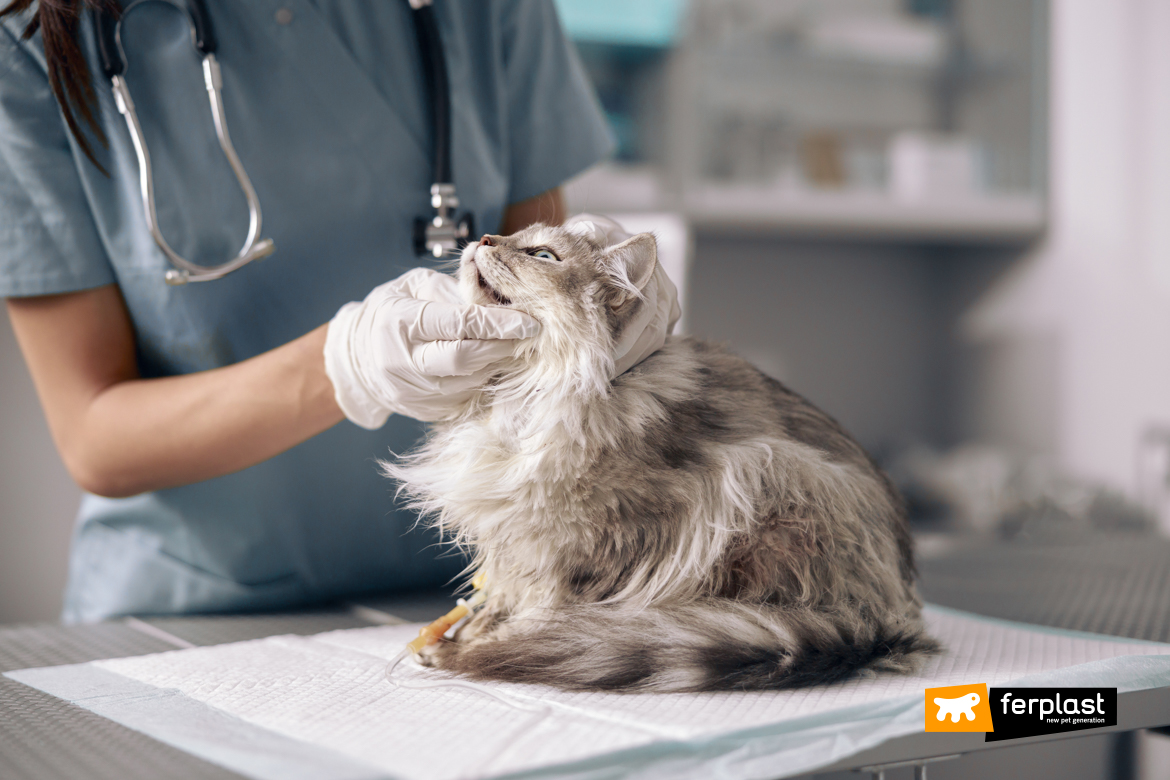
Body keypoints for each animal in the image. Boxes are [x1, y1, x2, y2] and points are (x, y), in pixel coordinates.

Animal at [386, 222, 940, 692]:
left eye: (542, 255)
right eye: (510, 236)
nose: (482, 236)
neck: (518, 394)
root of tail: (889, 615)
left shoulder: (589, 539)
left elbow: (544, 604)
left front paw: (495, 642)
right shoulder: (516, 533)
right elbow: (501, 591)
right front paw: (467, 631)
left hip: (768, 475)